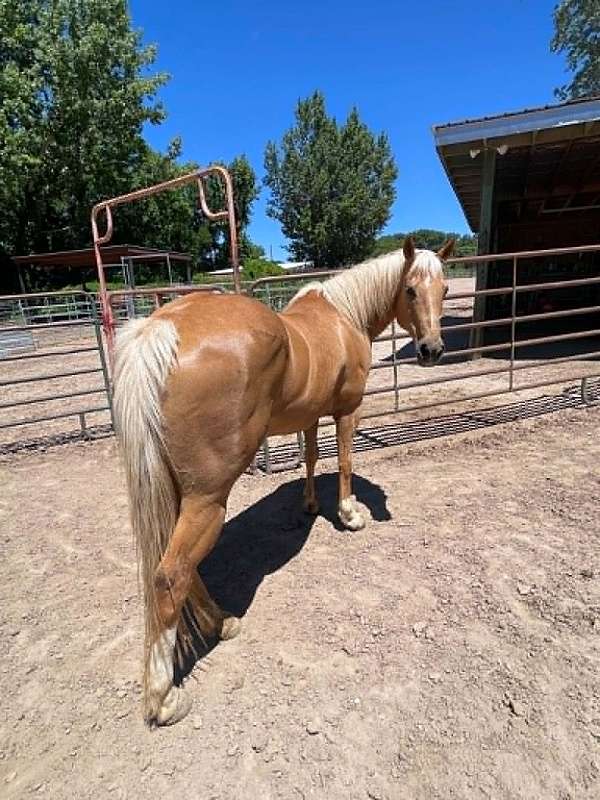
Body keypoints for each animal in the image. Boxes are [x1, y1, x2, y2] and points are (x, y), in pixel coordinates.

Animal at [112, 235, 453, 726]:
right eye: (410, 289)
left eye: (445, 290)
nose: (431, 350)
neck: (344, 316)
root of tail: (162, 328)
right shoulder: (346, 411)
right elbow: (344, 462)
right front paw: (350, 515)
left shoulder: (309, 415)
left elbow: (311, 457)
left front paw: (310, 505)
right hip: (207, 500)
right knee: (169, 576)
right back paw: (164, 697)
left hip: (177, 494)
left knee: (180, 567)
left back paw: (221, 623)